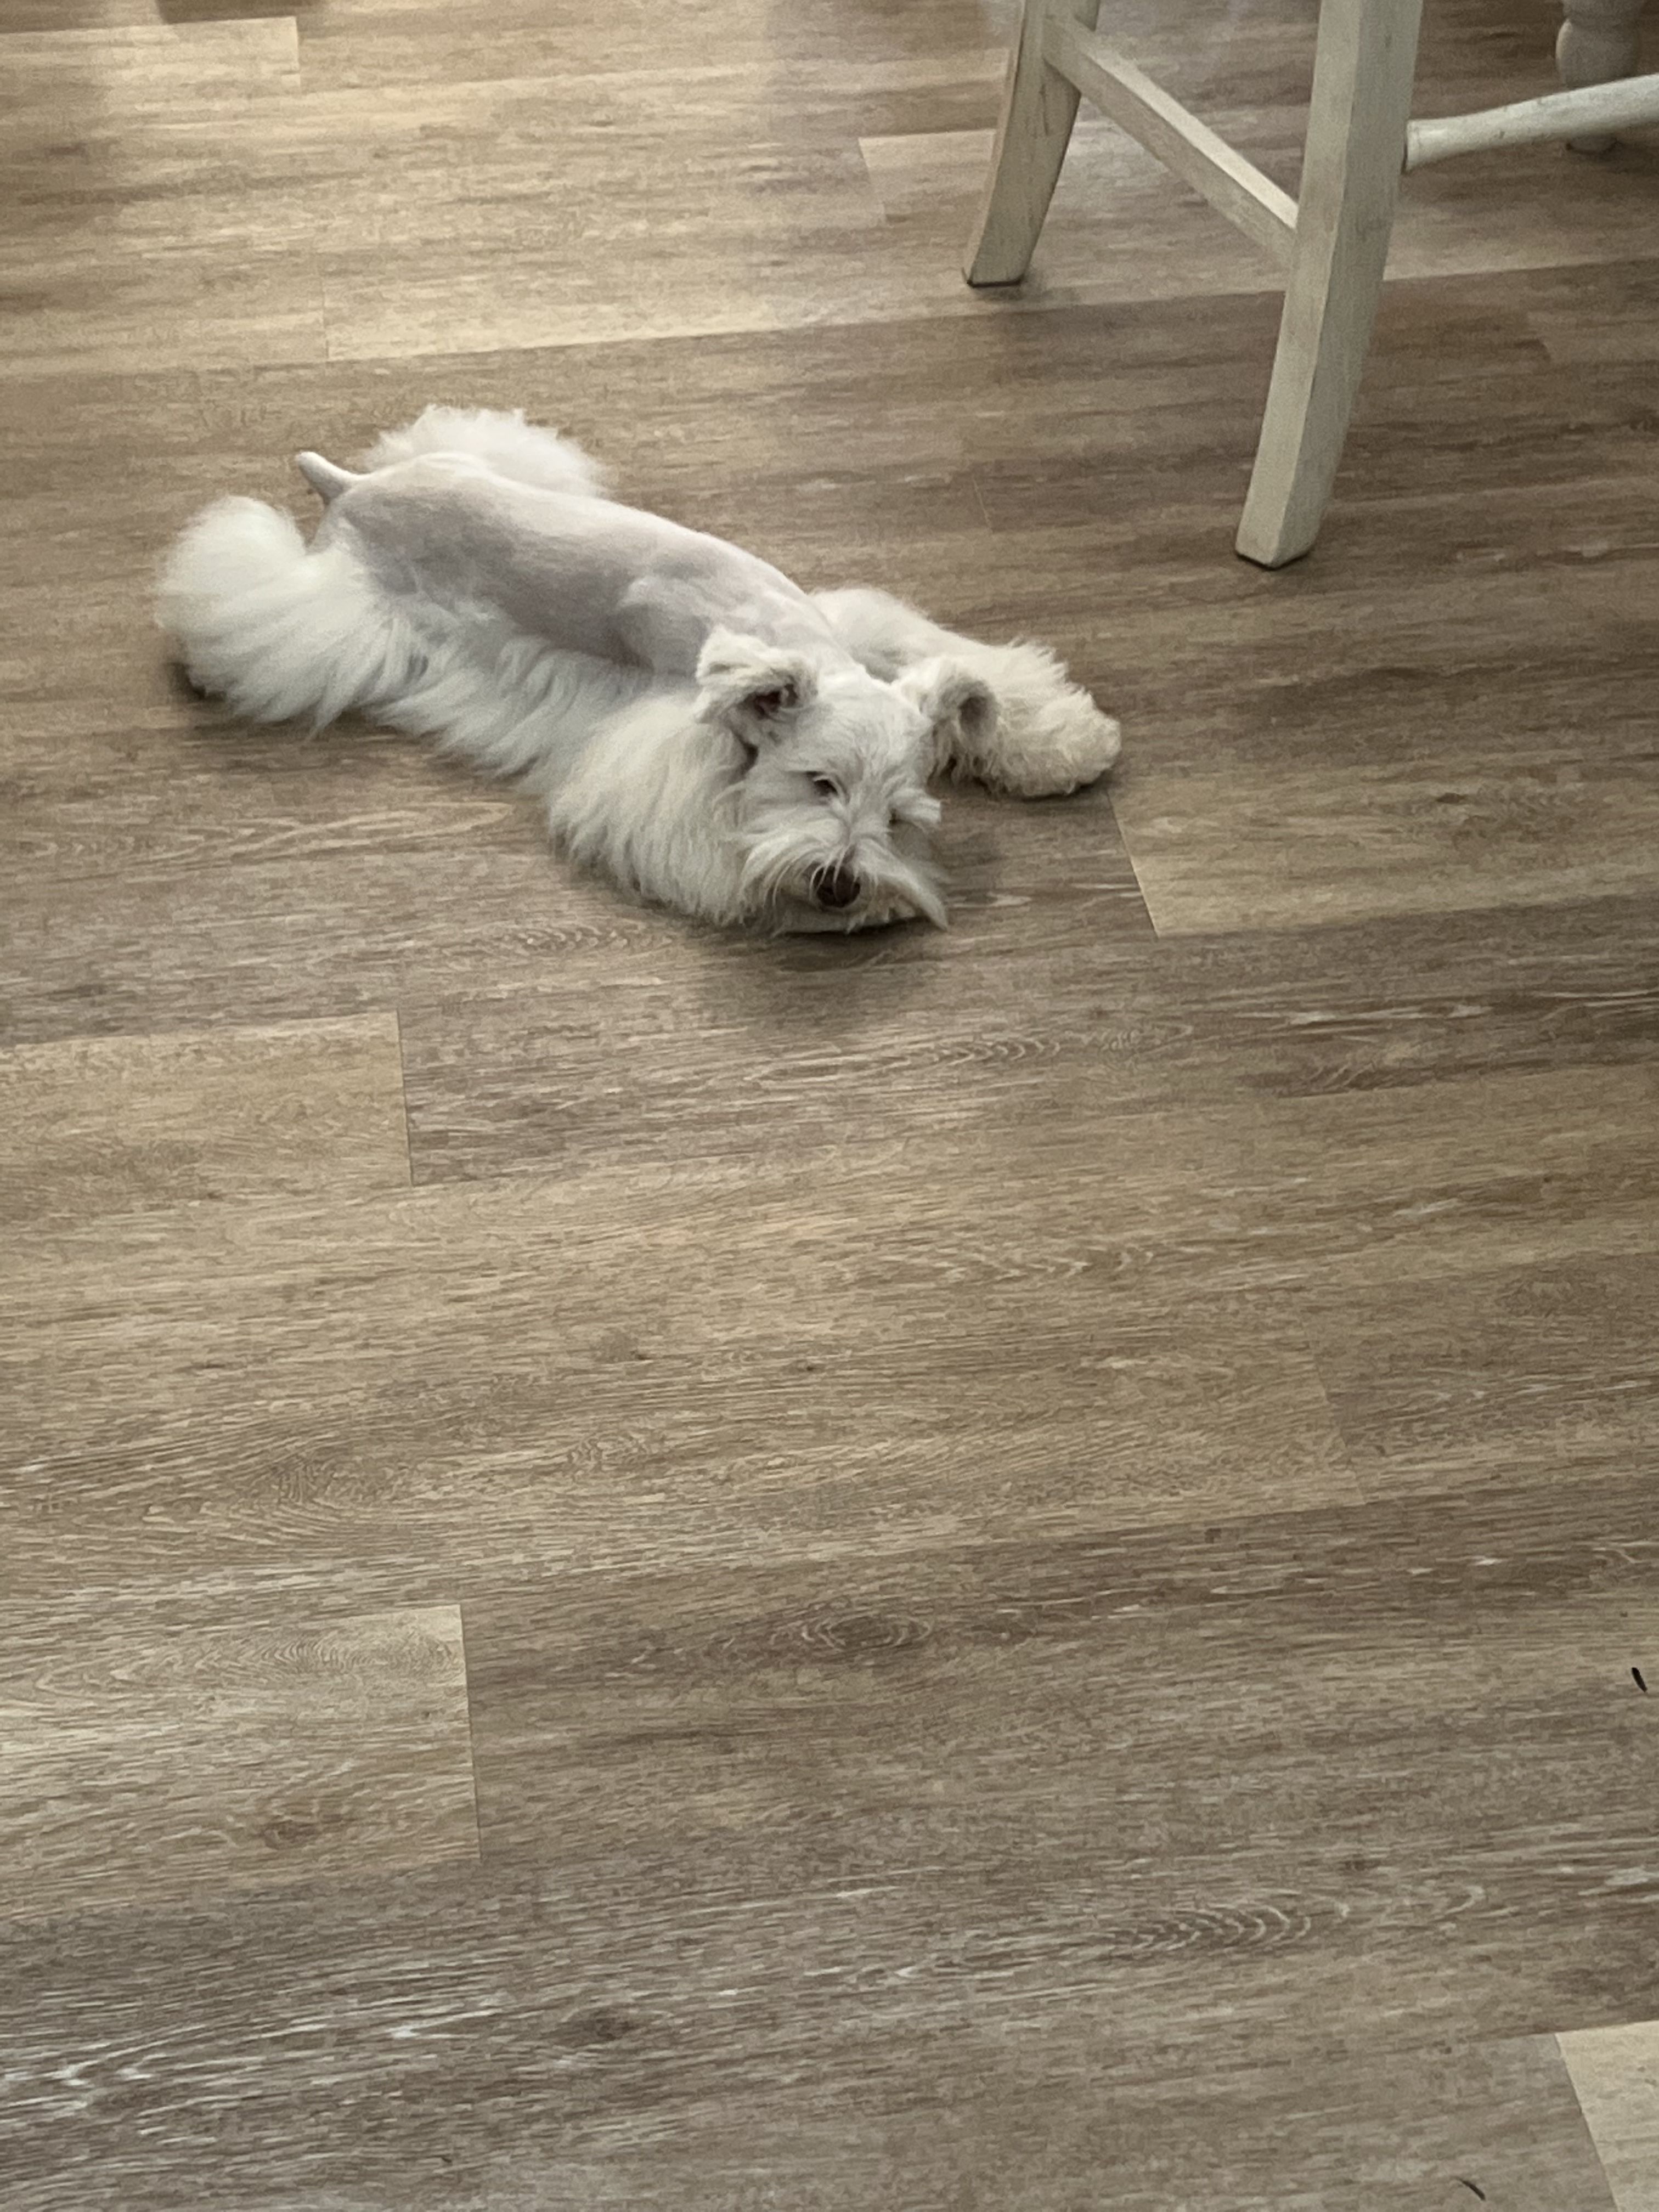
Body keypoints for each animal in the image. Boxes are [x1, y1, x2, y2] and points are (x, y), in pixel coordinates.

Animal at [158, 407, 1122, 932]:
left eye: (902, 814)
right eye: (817, 783)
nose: (842, 886)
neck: (787, 637)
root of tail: (352, 487)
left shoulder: (864, 628)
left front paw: (1066, 742)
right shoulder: (669, 721)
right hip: (332, 595)